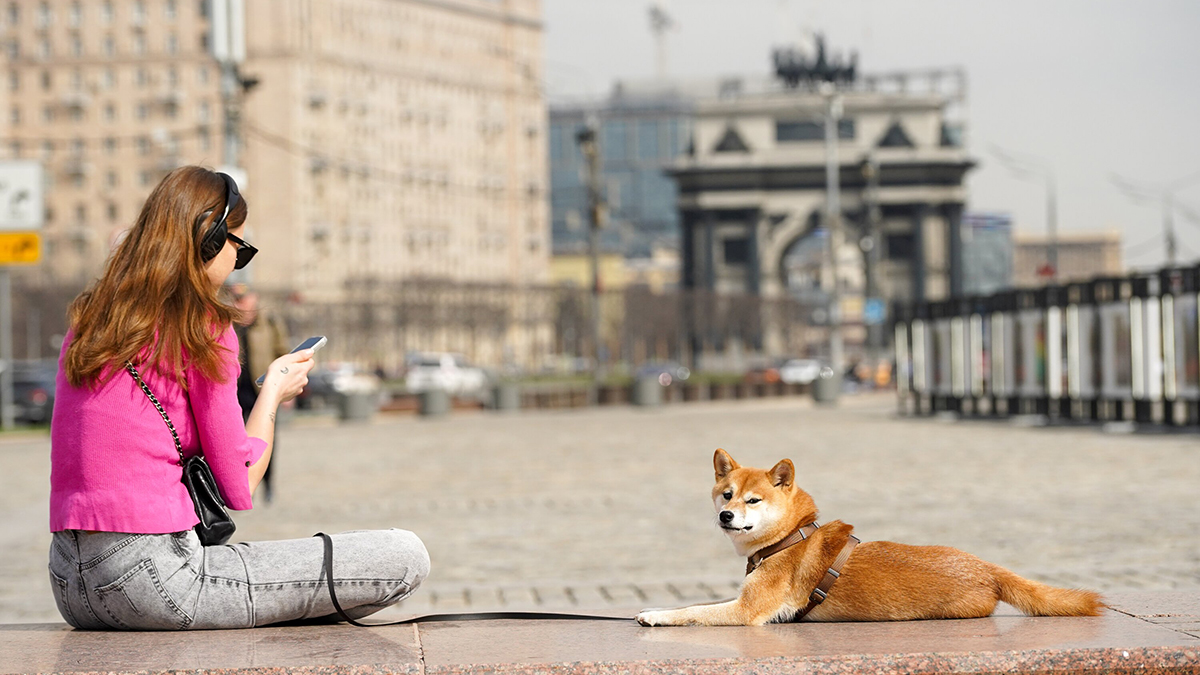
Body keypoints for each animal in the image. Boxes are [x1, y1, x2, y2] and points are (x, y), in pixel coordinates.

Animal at [638, 446, 1104, 624]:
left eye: (753, 501)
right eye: (726, 494)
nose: (726, 515)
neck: (790, 538)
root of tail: (987, 567)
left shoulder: (747, 611)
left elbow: (692, 611)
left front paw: (656, 614)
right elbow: (699, 603)